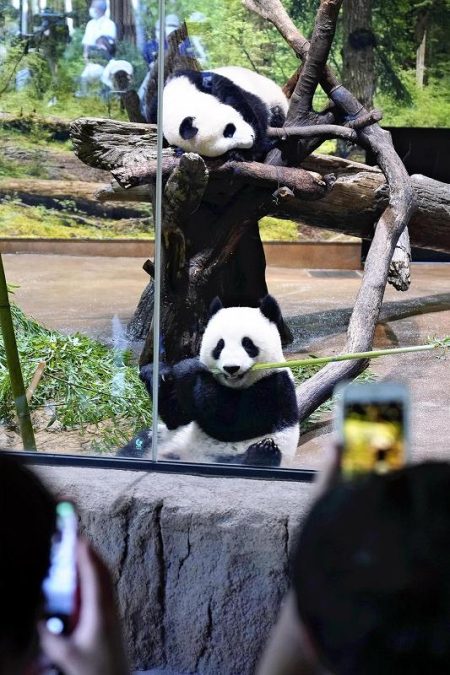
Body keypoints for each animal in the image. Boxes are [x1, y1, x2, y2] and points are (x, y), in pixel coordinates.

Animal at [118, 295, 299, 467]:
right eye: (220, 345)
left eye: (248, 344)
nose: (231, 368)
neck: (233, 387)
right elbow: (176, 417)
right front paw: (157, 372)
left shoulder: (274, 386)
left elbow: (231, 421)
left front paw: (189, 369)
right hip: (165, 439)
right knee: (141, 442)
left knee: (257, 458)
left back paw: (260, 452)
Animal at [160, 66, 289, 160]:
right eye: (226, 148)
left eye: (228, 131)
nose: (251, 138)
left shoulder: (203, 81)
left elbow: (252, 111)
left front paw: (246, 153)